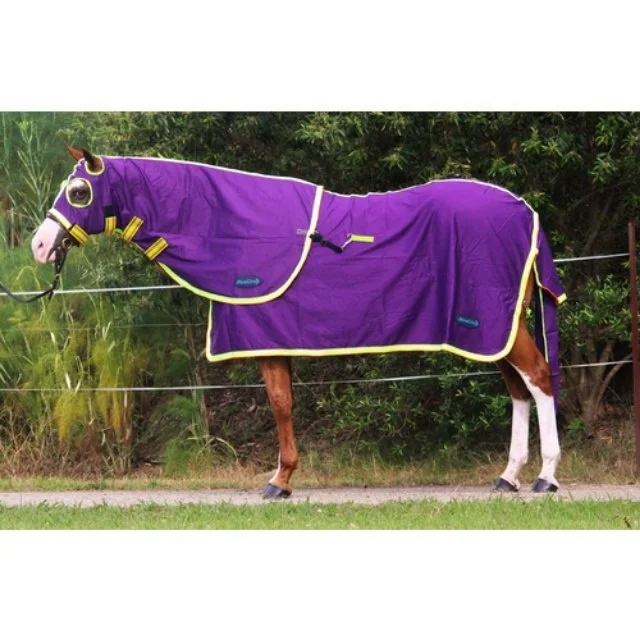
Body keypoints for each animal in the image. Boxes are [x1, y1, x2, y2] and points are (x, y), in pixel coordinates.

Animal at [31, 146, 566, 497]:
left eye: (79, 191)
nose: (39, 245)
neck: (229, 226)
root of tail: (526, 210)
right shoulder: (275, 341)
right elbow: (285, 404)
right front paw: (284, 478)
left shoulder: (266, 341)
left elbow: (280, 406)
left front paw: (279, 481)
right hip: (494, 331)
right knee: (519, 389)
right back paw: (509, 476)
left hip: (495, 325)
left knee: (539, 379)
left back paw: (546, 477)